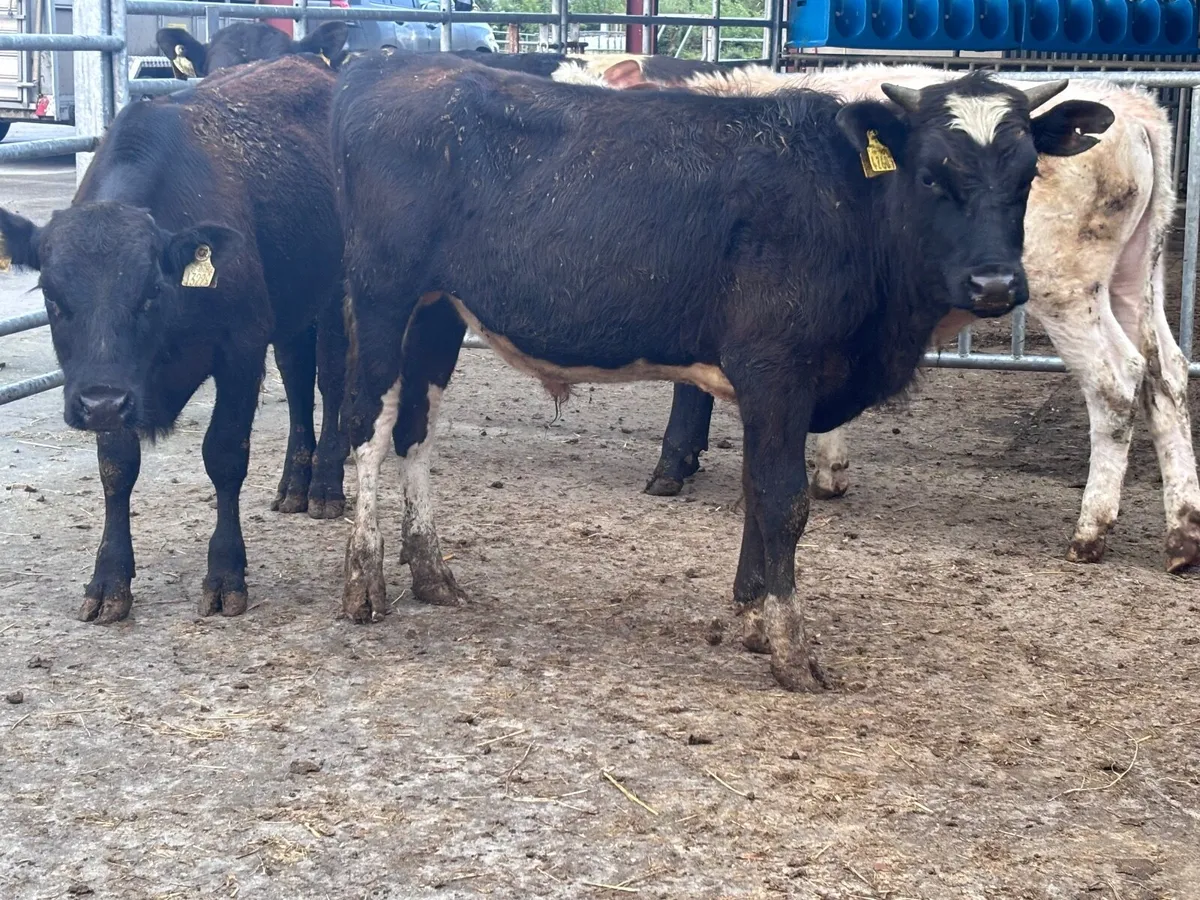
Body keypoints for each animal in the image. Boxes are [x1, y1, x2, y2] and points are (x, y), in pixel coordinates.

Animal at [0, 56, 348, 624]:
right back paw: (294, 484)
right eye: (52, 297)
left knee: (333, 380)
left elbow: (225, 454)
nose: (99, 404)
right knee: (298, 378)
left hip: (338, 290)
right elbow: (116, 467)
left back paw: (324, 486)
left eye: (151, 293)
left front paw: (226, 573)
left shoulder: (241, 348)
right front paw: (109, 579)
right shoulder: (118, 386)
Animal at [330, 51, 1112, 691]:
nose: (995, 285)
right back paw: (364, 580)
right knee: (366, 423)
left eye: (1028, 175)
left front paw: (750, 621)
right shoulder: (777, 370)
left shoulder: (770, 387)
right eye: (931, 174)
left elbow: (755, 495)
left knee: (418, 427)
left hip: (439, 310)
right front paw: (792, 650)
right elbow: (783, 502)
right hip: (383, 296)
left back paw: (432, 573)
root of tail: (391, 66)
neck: (847, 205)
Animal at [613, 63, 1200, 575]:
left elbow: (691, 385)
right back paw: (1182, 533)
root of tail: (1135, 108)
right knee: (1165, 374)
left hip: (1066, 287)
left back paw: (1090, 530)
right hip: (1135, 279)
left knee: (1116, 381)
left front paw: (672, 467)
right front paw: (829, 469)